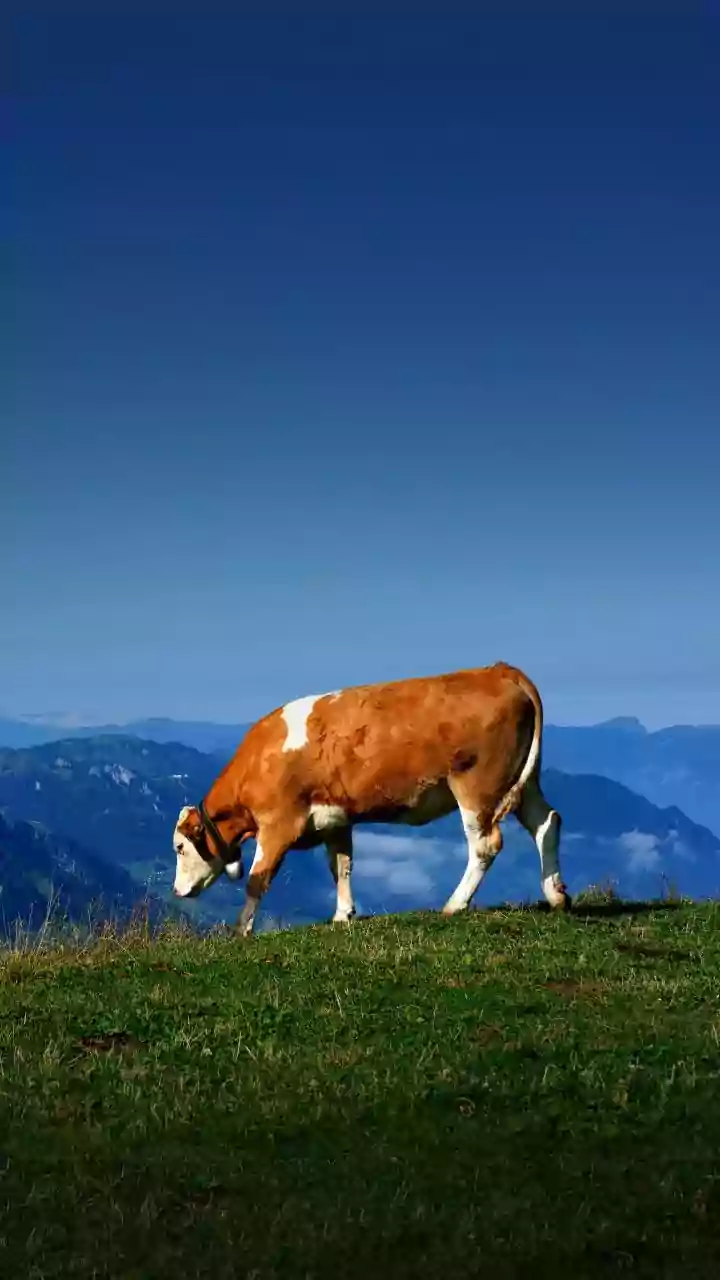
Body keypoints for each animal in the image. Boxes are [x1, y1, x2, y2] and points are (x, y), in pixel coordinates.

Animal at [172, 661, 568, 935]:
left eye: (179, 847)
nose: (177, 891)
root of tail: (497, 670)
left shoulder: (279, 824)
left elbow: (258, 878)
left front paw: (241, 930)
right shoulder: (334, 818)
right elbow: (341, 866)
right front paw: (342, 915)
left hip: (477, 784)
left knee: (486, 844)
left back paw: (455, 904)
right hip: (523, 782)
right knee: (547, 822)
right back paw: (556, 895)